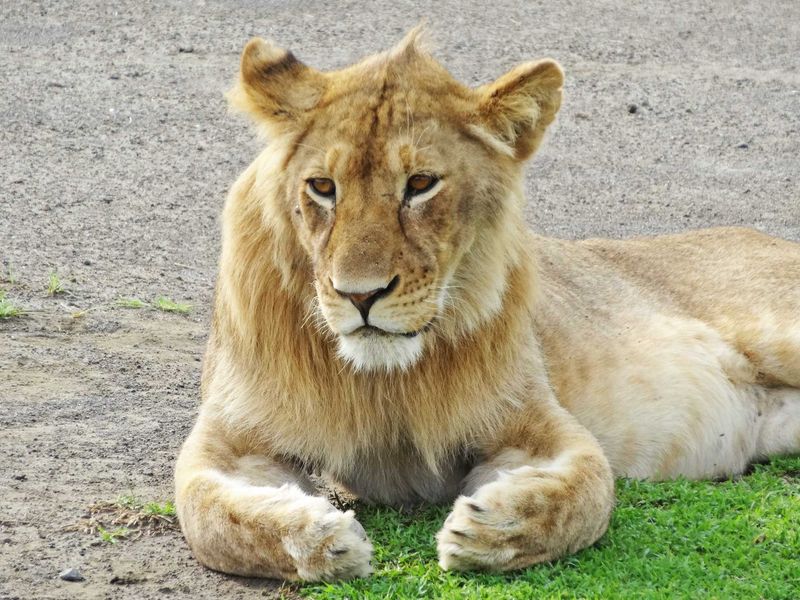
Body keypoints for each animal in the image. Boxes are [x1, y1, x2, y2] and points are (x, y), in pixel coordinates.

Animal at [174, 29, 800, 581]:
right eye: (323, 187)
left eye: (420, 183)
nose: (360, 294)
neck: (385, 381)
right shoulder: (230, 442)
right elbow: (208, 515)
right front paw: (321, 540)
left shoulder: (537, 423)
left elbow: (588, 492)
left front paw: (491, 531)